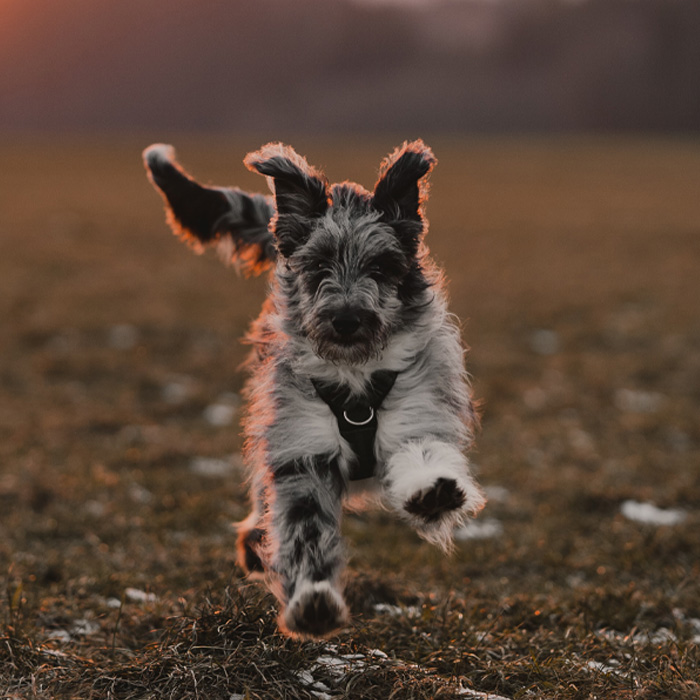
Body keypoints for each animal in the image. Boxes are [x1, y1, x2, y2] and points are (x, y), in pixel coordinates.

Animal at [139, 139, 484, 636]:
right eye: (319, 264)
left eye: (380, 266)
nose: (346, 319)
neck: (355, 378)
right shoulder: (300, 450)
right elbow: (304, 528)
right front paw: (312, 600)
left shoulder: (417, 410)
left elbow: (422, 452)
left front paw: (431, 492)